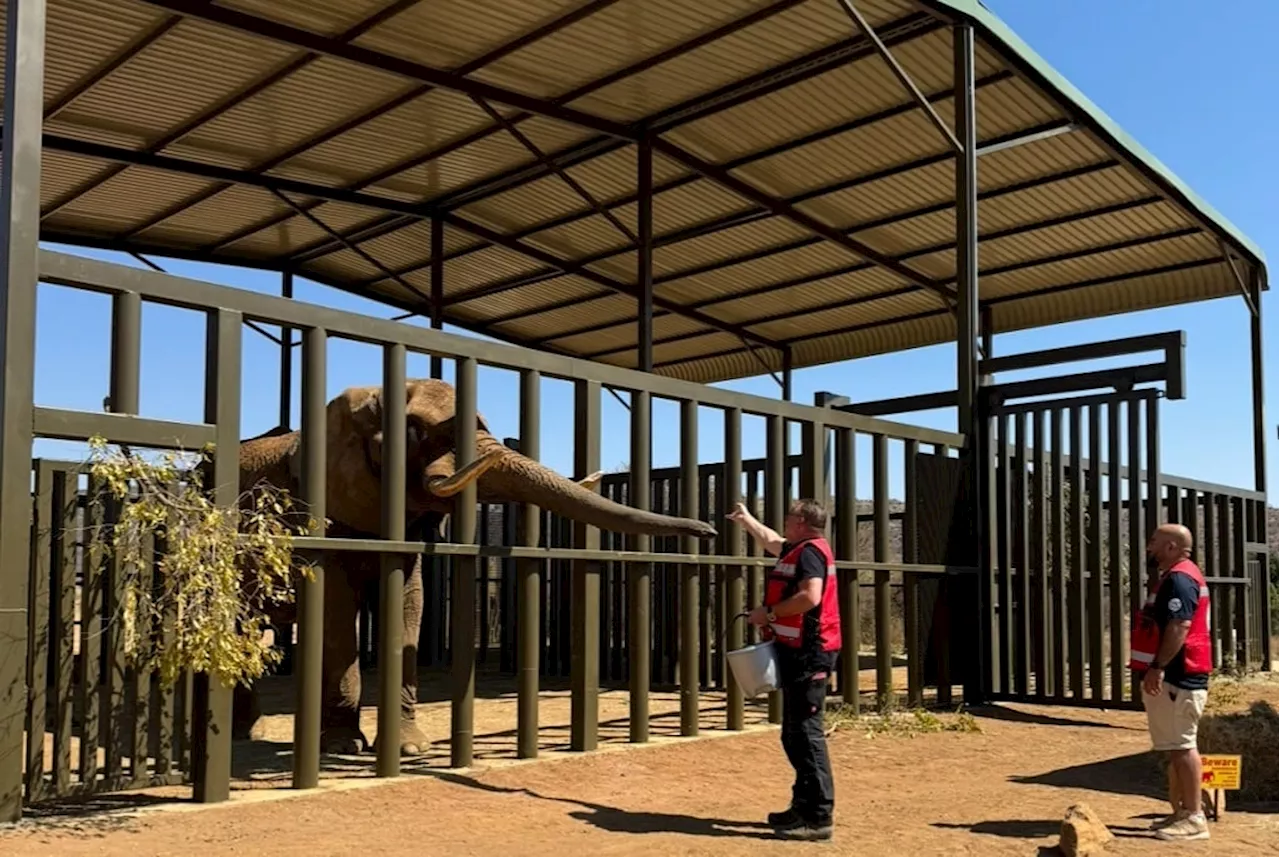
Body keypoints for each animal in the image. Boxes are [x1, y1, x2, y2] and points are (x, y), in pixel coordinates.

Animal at [230, 378, 721, 757]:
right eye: (414, 431)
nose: (710, 532)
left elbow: (408, 606)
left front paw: (411, 749)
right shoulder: (327, 512)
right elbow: (336, 613)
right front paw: (341, 747)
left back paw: (249, 733)